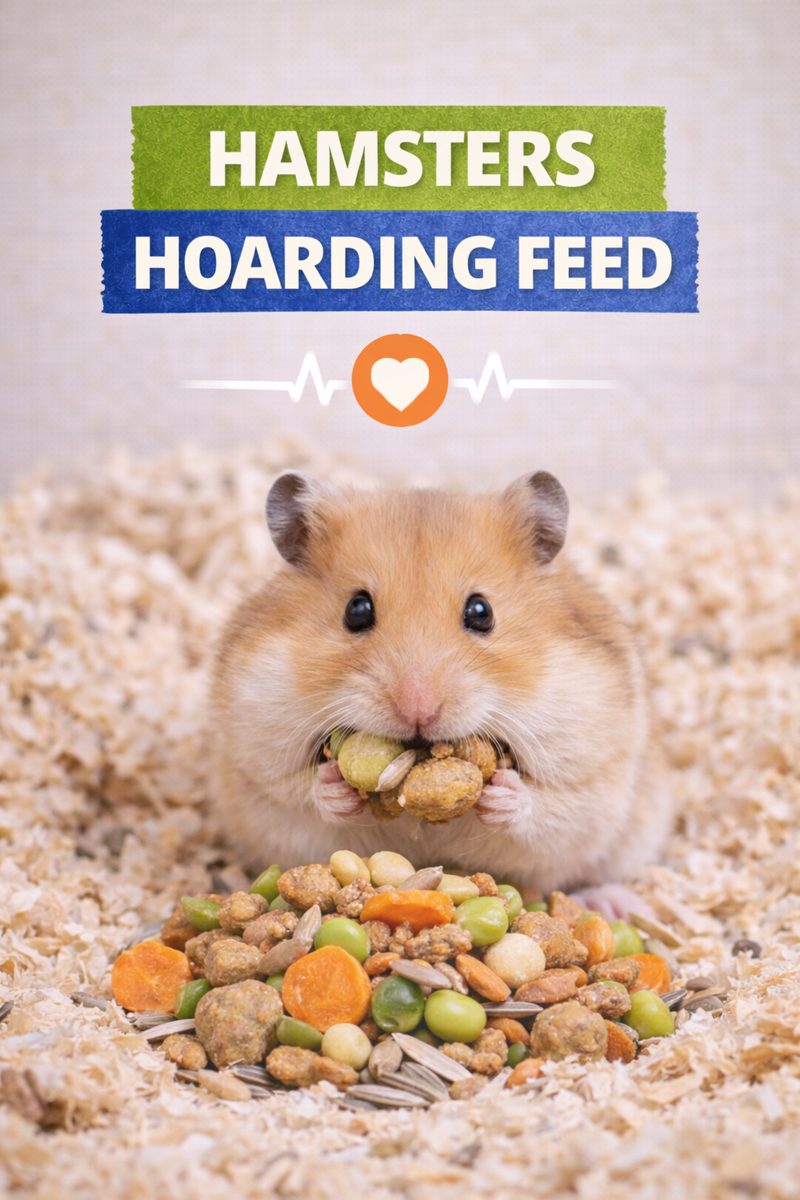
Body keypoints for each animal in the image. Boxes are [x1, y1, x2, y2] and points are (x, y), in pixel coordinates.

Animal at [209, 469, 671, 895]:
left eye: (481, 611)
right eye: (356, 609)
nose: (418, 711)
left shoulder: (593, 779)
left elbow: (549, 806)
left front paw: (501, 794)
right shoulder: (255, 765)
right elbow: (295, 789)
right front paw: (336, 788)